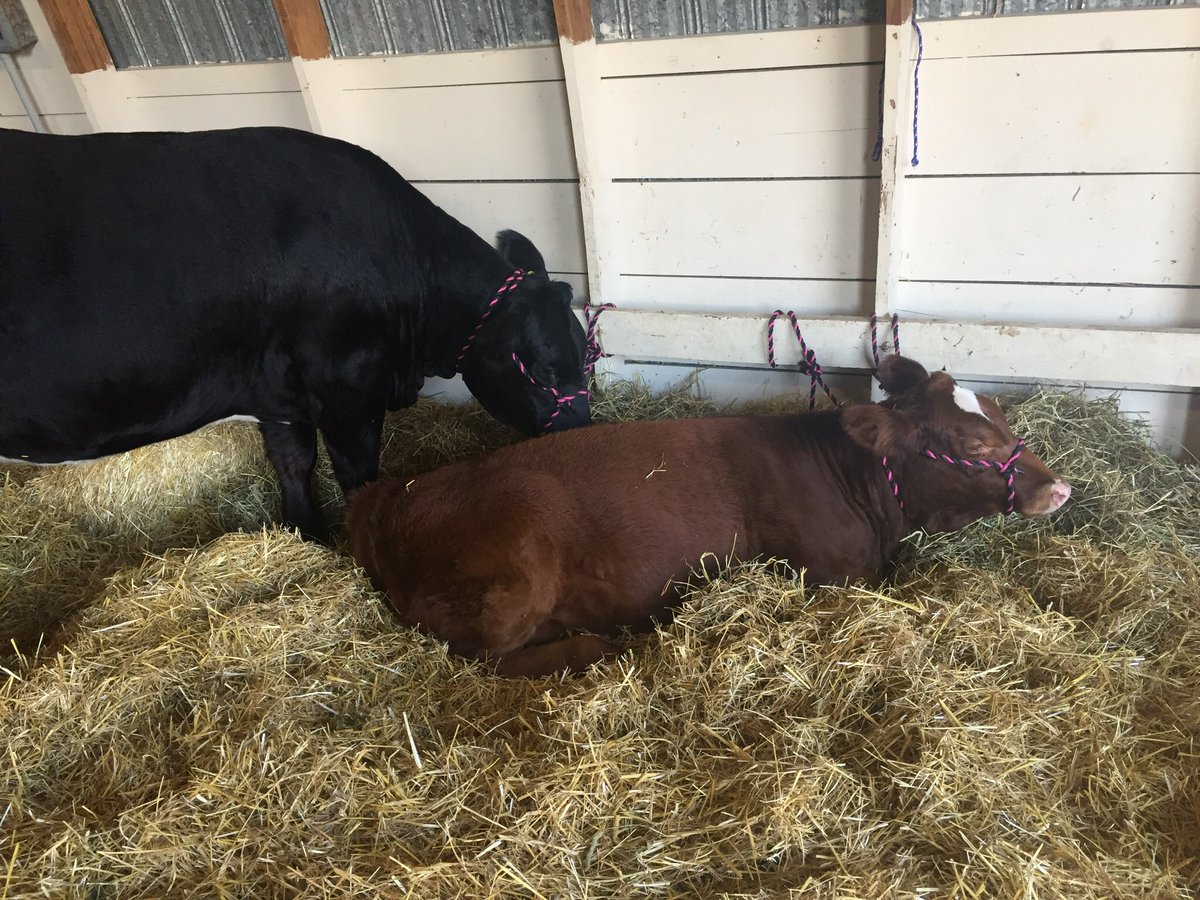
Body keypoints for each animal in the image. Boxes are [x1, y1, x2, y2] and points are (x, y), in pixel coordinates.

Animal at [0, 126, 591, 540]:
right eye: (544, 370)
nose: (584, 438)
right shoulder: (347, 386)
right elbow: (358, 475)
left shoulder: (279, 392)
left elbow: (293, 465)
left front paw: (311, 538)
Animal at [346, 355, 1072, 677]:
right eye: (974, 445)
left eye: (1002, 416)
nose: (1058, 488)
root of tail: (393, 497)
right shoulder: (828, 575)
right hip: (510, 587)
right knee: (481, 655)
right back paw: (593, 645)